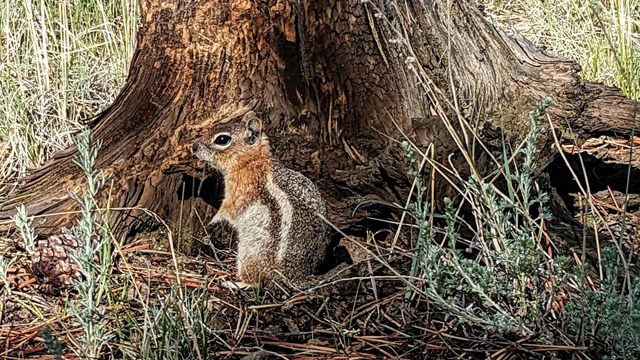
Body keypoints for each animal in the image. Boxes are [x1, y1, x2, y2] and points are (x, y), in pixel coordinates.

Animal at [192, 114, 330, 288]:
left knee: (256, 282)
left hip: (248, 253)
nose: (194, 146)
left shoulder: (238, 193)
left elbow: (228, 210)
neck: (252, 161)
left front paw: (212, 221)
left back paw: (235, 283)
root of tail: (294, 276)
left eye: (222, 139)